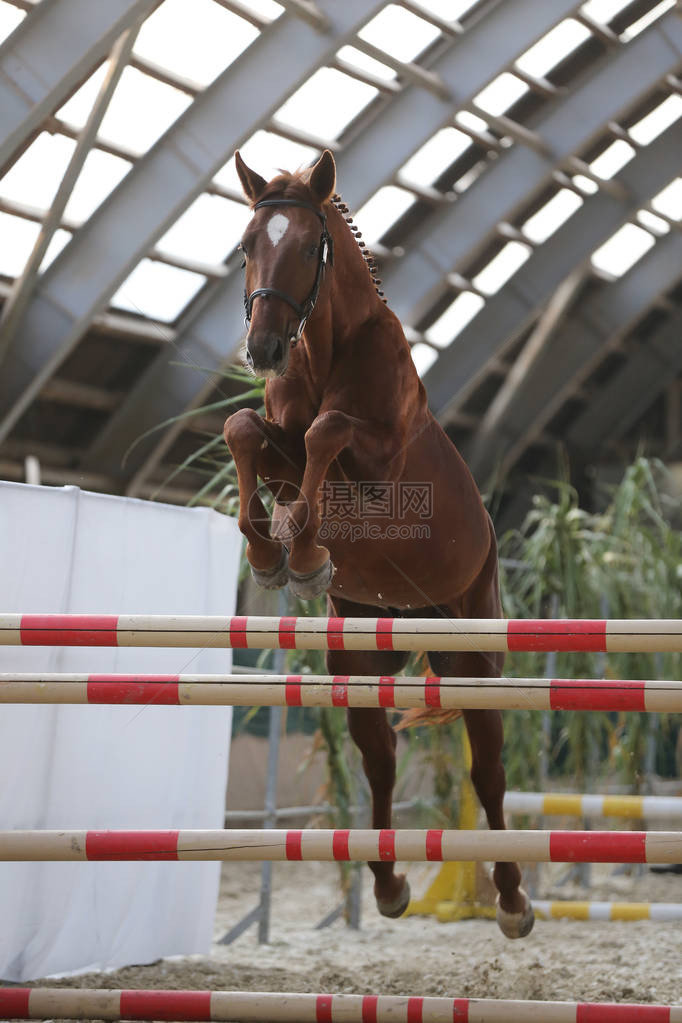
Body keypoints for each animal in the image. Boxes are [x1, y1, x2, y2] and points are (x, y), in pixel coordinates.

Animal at [223, 148, 531, 937]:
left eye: (309, 247)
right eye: (247, 244)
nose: (263, 348)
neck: (325, 352)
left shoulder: (379, 469)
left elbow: (327, 434)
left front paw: (303, 552)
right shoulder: (277, 441)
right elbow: (248, 430)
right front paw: (274, 554)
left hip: (476, 657)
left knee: (489, 768)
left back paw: (513, 900)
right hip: (360, 655)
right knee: (380, 758)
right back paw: (390, 885)